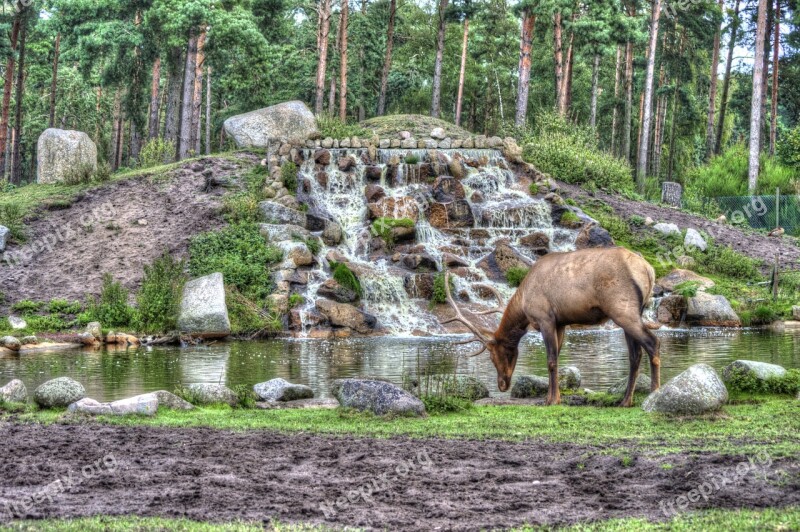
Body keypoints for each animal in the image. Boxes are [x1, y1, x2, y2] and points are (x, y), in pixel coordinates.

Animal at [440, 247, 660, 406]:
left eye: (494, 356)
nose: (502, 385)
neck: (523, 300)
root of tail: (648, 270)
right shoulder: (560, 323)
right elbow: (557, 358)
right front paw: (554, 397)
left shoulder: (545, 318)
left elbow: (551, 361)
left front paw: (551, 400)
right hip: (632, 312)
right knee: (635, 355)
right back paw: (626, 401)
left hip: (622, 309)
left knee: (653, 343)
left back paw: (654, 394)